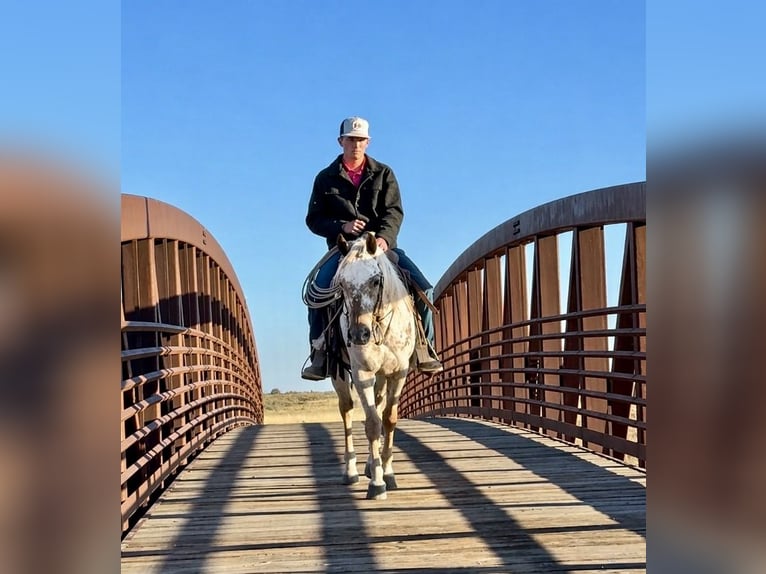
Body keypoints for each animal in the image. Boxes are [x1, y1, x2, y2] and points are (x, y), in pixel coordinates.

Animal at [330, 231, 417, 500]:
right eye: (341, 285)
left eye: (376, 280)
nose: (359, 335)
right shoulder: (362, 373)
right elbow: (371, 423)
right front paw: (377, 483)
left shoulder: (398, 372)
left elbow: (388, 419)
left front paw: (387, 472)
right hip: (340, 375)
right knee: (346, 409)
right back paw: (351, 470)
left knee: (378, 405)